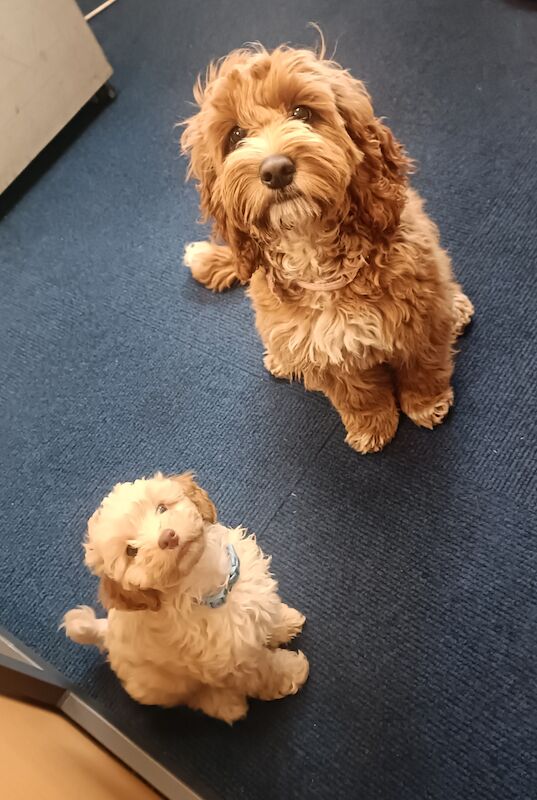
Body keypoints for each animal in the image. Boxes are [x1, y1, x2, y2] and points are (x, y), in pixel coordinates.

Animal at [61, 472, 306, 720]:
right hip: (163, 686)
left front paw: (286, 622)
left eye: (161, 508)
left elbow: (268, 614)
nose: (168, 537)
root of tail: (105, 632)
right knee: (194, 697)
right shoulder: (233, 663)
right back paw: (227, 704)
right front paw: (293, 671)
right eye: (131, 551)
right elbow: (265, 672)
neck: (209, 584)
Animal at [181, 40, 474, 454]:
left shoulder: (421, 314)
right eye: (236, 135)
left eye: (302, 112)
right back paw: (281, 360)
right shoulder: (326, 354)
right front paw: (372, 425)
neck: (313, 247)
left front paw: (426, 402)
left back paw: (459, 308)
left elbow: (423, 366)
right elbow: (358, 394)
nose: (276, 170)